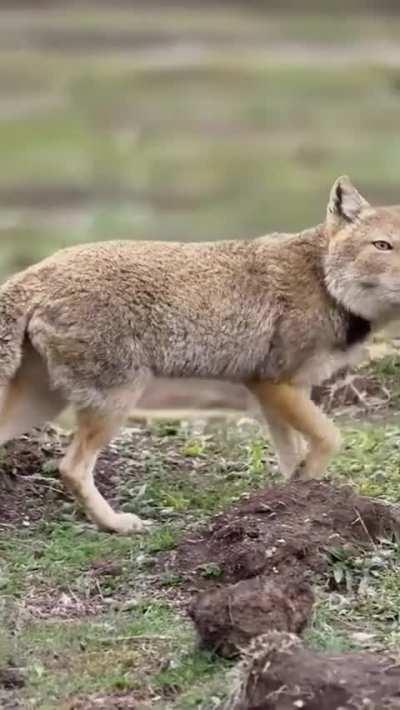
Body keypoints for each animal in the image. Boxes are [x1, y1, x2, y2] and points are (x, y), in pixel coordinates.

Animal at [0, 175, 400, 534]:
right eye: (383, 245)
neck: (323, 280)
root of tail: (38, 269)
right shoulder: (272, 384)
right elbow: (330, 437)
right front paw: (307, 490)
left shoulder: (286, 391)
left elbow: (294, 453)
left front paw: (297, 501)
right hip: (115, 402)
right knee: (71, 468)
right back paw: (116, 525)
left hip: (44, 403)